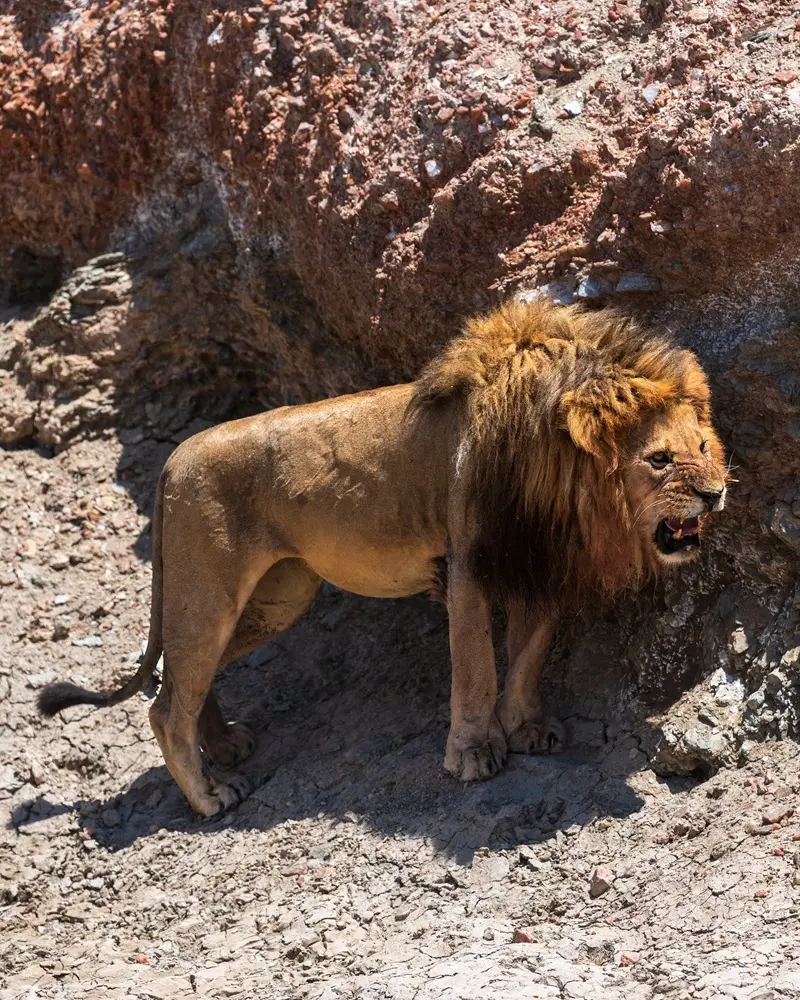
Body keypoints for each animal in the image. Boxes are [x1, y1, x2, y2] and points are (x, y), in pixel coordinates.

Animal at [38, 300, 728, 817]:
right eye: (659, 460)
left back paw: (226, 747)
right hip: (205, 596)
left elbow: (528, 657)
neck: (559, 480)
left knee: (189, 678)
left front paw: (528, 728)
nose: (717, 492)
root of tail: (173, 459)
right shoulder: (470, 566)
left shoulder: (540, 566)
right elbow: (476, 665)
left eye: (701, 446)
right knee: (165, 702)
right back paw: (210, 795)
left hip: (278, 597)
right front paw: (475, 754)